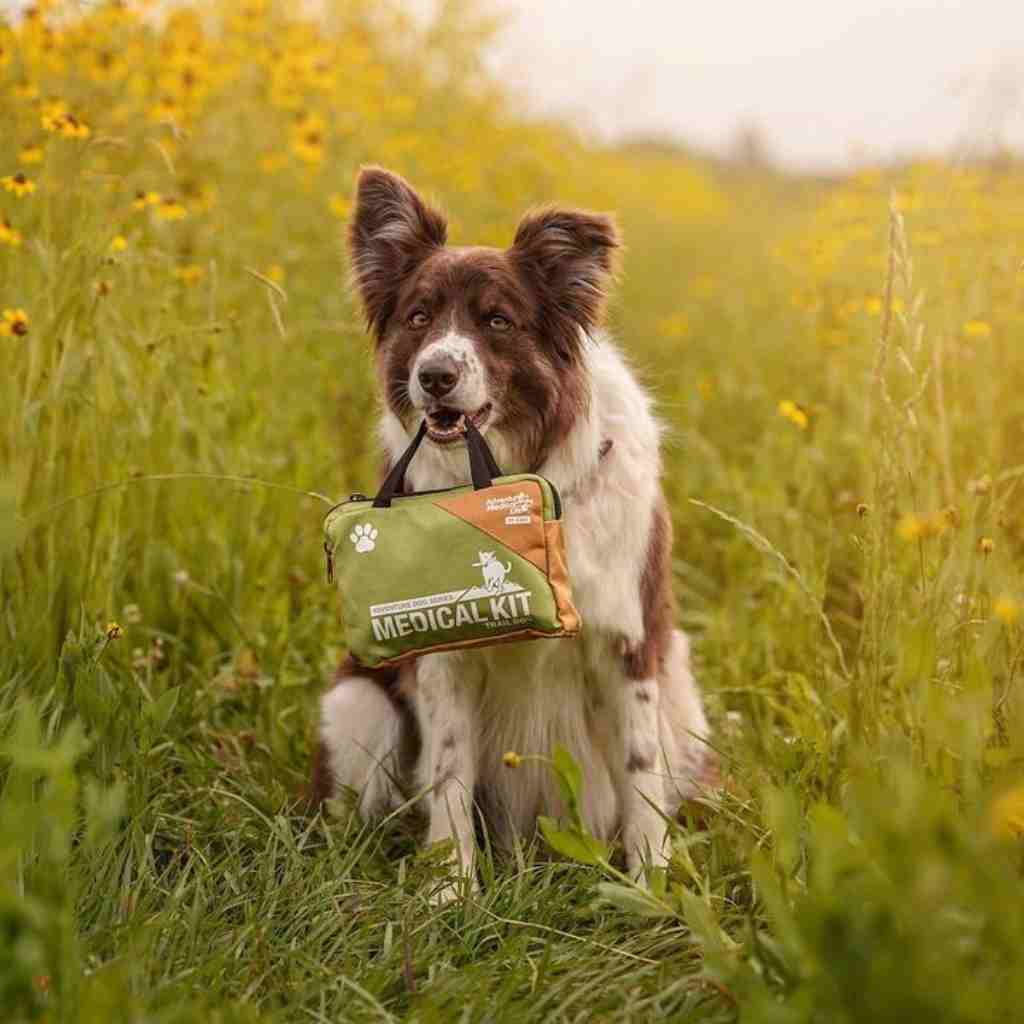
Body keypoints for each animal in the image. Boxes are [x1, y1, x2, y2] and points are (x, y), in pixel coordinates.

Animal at [311, 167, 712, 888]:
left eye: (498, 320)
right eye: (419, 317)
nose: (435, 375)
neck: (526, 474)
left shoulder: (631, 641)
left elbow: (640, 775)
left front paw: (652, 889)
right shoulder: (440, 657)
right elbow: (448, 772)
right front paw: (451, 890)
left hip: (685, 701)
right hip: (358, 702)